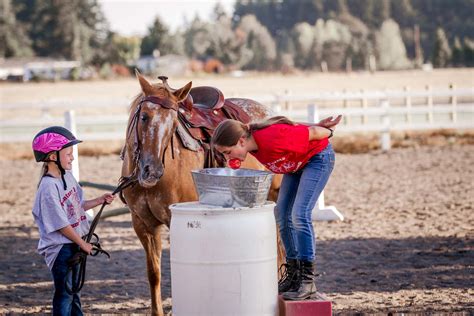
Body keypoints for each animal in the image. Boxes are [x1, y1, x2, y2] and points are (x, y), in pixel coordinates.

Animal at [120, 72, 284, 316]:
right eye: (144, 117)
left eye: (174, 122)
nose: (152, 170)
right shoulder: (142, 224)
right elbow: (154, 273)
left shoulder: (172, 218)